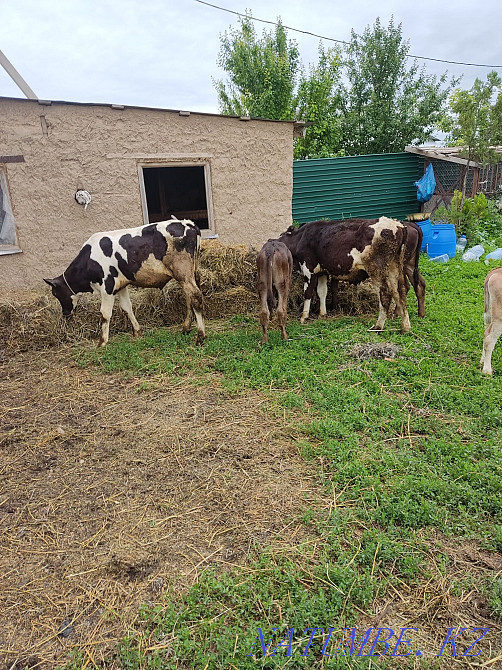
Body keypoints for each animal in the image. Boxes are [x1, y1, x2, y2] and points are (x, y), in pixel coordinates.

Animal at [44, 218, 205, 346]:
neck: (90, 259)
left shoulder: (107, 286)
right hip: (190, 274)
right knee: (189, 297)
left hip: (183, 272)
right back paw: (186, 328)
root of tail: (187, 223)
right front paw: (137, 332)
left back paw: (200, 337)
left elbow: (105, 313)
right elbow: (127, 307)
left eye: (55, 293)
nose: (65, 313)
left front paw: (102, 342)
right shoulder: (120, 286)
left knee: (195, 296)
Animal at [279, 217, 411, 333]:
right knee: (400, 293)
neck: (301, 237)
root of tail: (398, 225)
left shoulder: (309, 269)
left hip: (377, 270)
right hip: (394, 268)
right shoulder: (322, 272)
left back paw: (378, 326)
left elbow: (308, 293)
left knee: (385, 295)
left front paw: (303, 317)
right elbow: (322, 292)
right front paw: (322, 314)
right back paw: (405, 327)